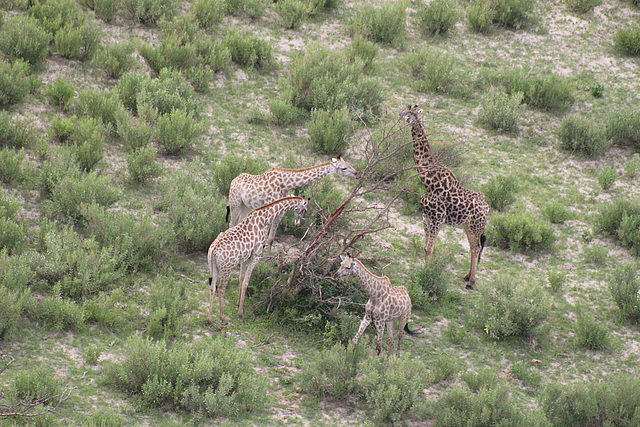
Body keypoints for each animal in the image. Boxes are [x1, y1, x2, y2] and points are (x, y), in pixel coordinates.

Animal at [206, 196, 308, 324]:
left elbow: (241, 278)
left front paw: (238, 306)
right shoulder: (256, 255)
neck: (264, 219)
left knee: (212, 287)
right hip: (227, 268)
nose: (297, 224)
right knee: (220, 289)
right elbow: (246, 282)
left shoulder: (245, 257)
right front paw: (240, 313)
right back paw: (223, 318)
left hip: (214, 267)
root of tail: (213, 251)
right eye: (304, 210)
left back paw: (209, 319)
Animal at [225, 158, 356, 256]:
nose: (356, 173)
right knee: (231, 224)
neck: (285, 184)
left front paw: (267, 261)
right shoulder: (269, 210)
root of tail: (234, 179)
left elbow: (271, 239)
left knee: (238, 223)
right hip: (235, 203)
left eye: (349, 164)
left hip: (245, 206)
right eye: (344, 168)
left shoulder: (280, 213)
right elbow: (263, 239)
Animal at [400, 105, 490, 290]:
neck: (427, 180)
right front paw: (424, 272)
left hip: (475, 225)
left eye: (409, 113)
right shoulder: (426, 216)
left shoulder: (438, 218)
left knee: (476, 247)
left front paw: (427, 276)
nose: (399, 115)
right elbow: (425, 247)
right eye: (405, 109)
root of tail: (487, 209)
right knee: (473, 246)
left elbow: (429, 248)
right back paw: (467, 276)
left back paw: (471, 282)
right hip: (468, 225)